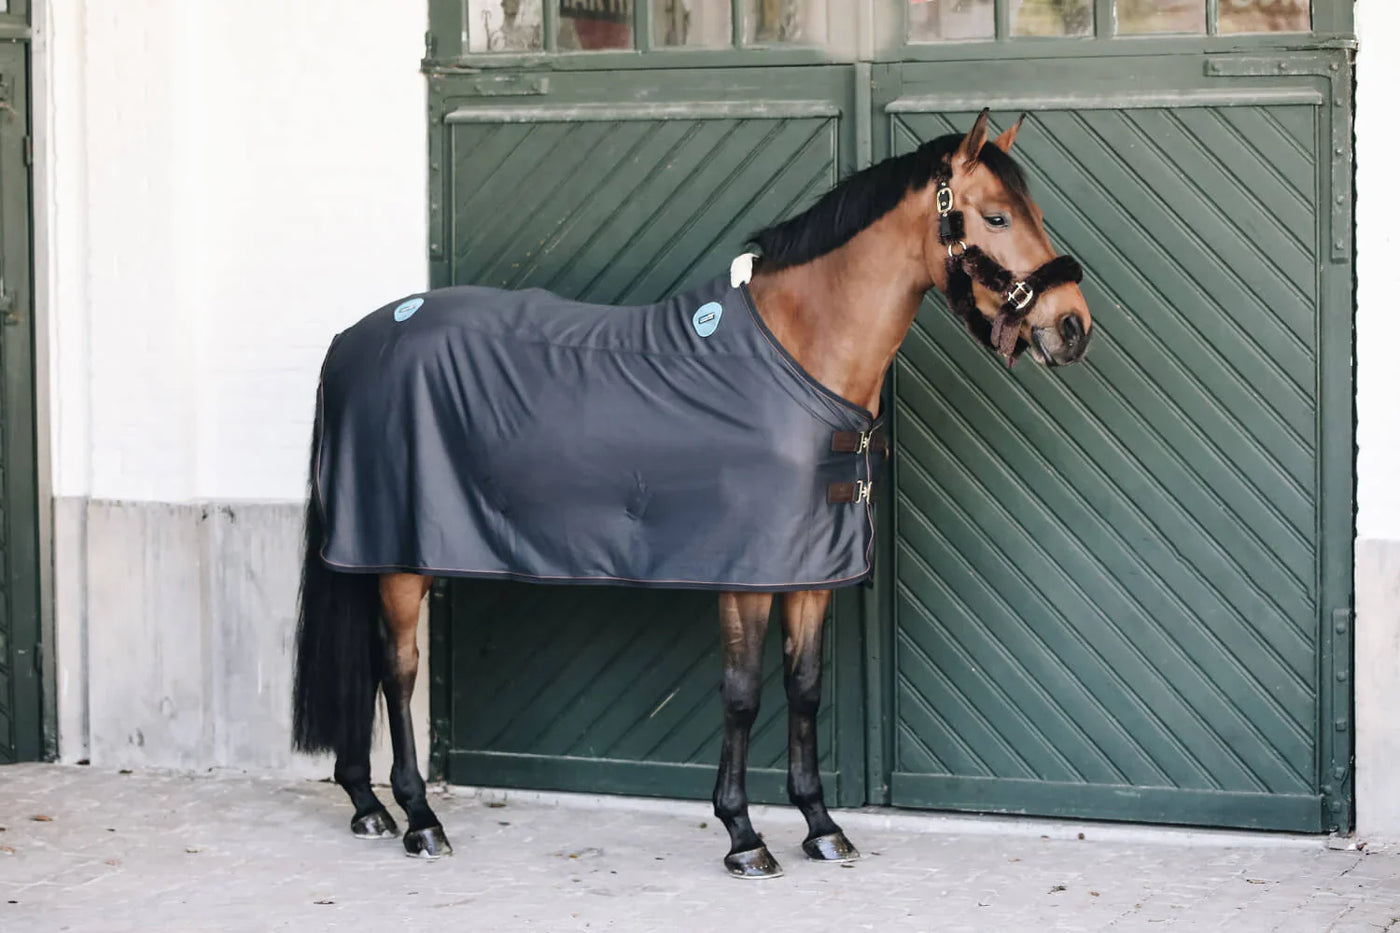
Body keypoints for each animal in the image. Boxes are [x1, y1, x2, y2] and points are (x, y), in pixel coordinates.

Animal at [291, 109, 1092, 878]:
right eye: (996, 217)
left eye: (1036, 210)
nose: (1073, 326)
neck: (799, 355)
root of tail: (352, 339)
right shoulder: (745, 575)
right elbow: (742, 694)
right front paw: (743, 835)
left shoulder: (809, 571)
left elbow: (804, 687)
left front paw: (822, 827)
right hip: (400, 559)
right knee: (396, 673)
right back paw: (420, 819)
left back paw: (367, 804)